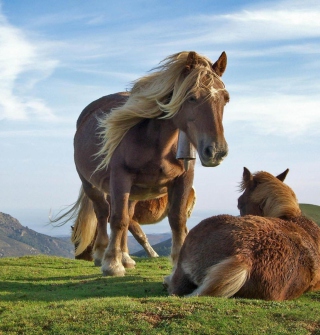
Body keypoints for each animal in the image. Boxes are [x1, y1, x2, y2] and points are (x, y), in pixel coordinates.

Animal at [53, 51, 229, 276]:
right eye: (192, 97)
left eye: (225, 99)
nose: (216, 152)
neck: (156, 143)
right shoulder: (120, 178)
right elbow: (117, 220)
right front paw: (112, 264)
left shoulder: (184, 179)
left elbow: (177, 221)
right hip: (91, 183)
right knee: (103, 213)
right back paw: (102, 254)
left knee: (127, 216)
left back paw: (126, 257)